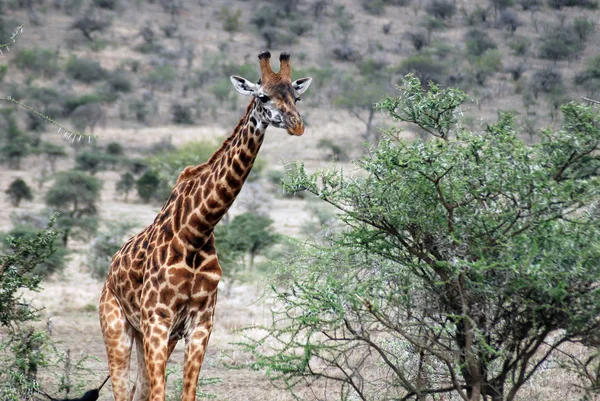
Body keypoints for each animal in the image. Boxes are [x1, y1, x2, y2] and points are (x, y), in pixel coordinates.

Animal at [98, 50, 312, 400]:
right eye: (263, 96)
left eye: (296, 97)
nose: (297, 126)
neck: (197, 231)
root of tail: (111, 270)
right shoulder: (158, 319)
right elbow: (160, 394)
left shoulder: (200, 323)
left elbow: (186, 394)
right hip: (117, 326)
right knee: (121, 389)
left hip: (149, 336)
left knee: (138, 390)